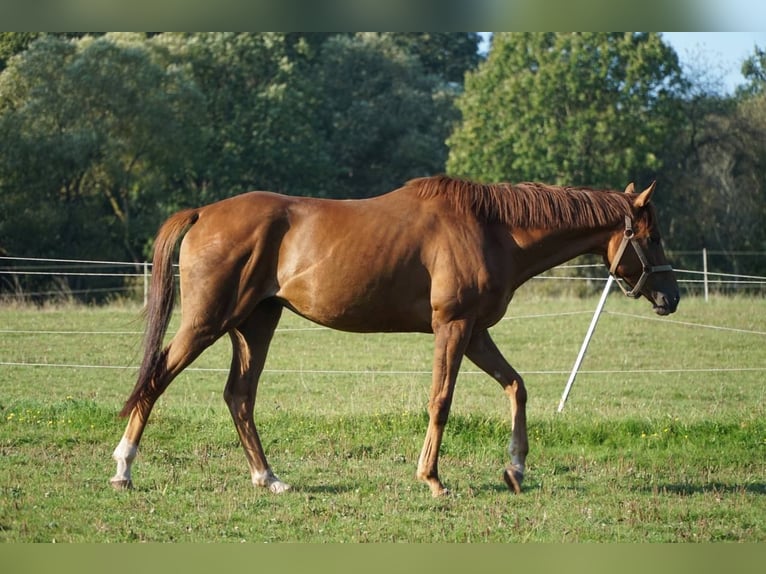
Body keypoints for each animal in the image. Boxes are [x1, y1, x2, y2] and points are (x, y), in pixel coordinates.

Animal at [111, 176, 680, 500]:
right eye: (652, 237)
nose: (671, 297)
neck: (491, 229)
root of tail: (205, 212)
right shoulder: (453, 327)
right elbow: (441, 401)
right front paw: (433, 479)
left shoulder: (475, 332)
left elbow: (516, 387)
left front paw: (516, 469)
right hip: (208, 322)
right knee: (157, 379)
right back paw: (124, 467)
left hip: (256, 324)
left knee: (239, 397)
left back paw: (268, 478)